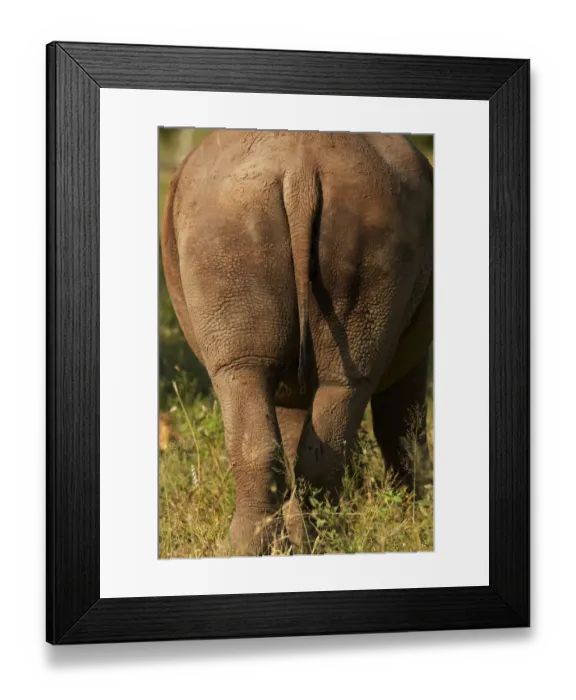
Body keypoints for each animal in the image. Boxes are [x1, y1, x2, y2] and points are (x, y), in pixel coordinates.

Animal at [161, 129, 433, 556]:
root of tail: (301, 171)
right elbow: (402, 422)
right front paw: (413, 516)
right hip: (249, 219)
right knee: (325, 385)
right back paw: (309, 546)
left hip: (237, 223)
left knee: (258, 378)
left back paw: (267, 549)